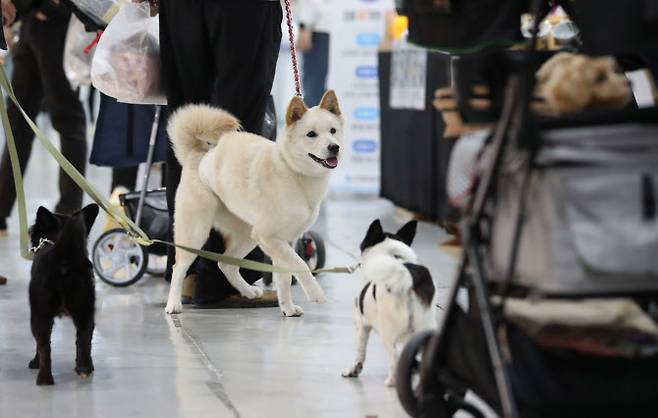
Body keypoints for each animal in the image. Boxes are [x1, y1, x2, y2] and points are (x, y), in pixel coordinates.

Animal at [27, 203, 98, 386]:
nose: (30, 229)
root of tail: (65, 258)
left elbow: (40, 345)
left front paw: (35, 363)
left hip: (39, 315)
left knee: (44, 346)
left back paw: (44, 379)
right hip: (85, 309)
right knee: (84, 337)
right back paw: (84, 368)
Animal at [164, 90, 344, 316]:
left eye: (333, 130)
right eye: (311, 134)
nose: (334, 147)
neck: (294, 173)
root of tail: (198, 154)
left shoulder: (284, 240)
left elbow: (284, 277)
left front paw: (288, 308)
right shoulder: (270, 237)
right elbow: (299, 264)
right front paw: (315, 293)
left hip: (248, 235)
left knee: (226, 263)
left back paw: (248, 291)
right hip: (195, 232)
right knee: (178, 268)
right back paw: (173, 304)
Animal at [340, 220, 438, 386]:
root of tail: (408, 276)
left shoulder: (362, 324)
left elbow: (360, 351)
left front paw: (353, 370)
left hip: (387, 332)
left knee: (394, 356)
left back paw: (392, 381)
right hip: (425, 325)